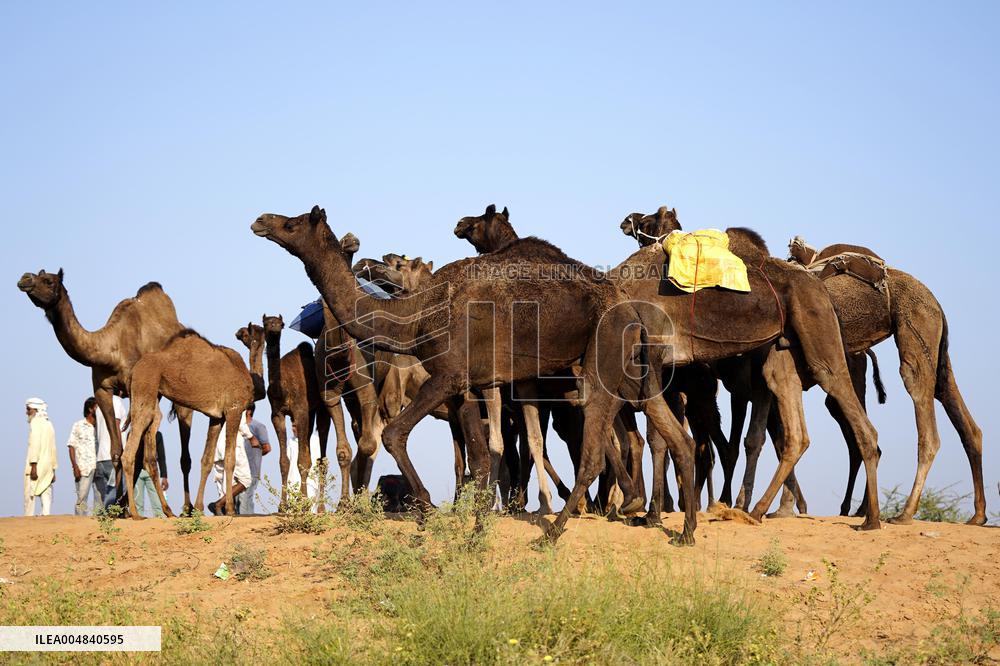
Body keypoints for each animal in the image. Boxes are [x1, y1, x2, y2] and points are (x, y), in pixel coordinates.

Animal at [17, 269, 200, 513]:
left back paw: (187, 508)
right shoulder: (102, 390)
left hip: (182, 393)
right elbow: (117, 451)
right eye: (38, 273)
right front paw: (117, 509)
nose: (24, 278)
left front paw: (125, 507)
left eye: (49, 280)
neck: (110, 349)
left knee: (184, 451)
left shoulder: (134, 385)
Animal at [123, 329, 255, 517]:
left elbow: (207, 460)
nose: (238, 333)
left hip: (151, 396)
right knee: (128, 454)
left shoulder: (217, 417)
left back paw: (168, 511)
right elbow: (230, 460)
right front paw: (230, 509)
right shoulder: (233, 410)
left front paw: (199, 508)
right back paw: (135, 514)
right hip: (145, 389)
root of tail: (134, 370)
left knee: (148, 457)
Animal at [262, 313, 331, 508]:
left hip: (321, 409)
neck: (282, 389)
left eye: (281, 323)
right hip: (311, 412)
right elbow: (284, 461)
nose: (274, 327)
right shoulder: (277, 415)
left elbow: (302, 461)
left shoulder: (300, 413)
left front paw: (303, 502)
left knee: (321, 459)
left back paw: (320, 507)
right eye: (266, 323)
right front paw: (283, 505)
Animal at [612, 207, 883, 529]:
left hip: (819, 336)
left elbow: (664, 440)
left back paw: (868, 517)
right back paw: (758, 511)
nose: (626, 220)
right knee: (796, 434)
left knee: (851, 412)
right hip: (782, 356)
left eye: (649, 220)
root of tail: (821, 288)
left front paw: (654, 513)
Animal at [788, 237, 986, 525]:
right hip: (937, 350)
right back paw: (978, 515)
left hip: (916, 324)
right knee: (961, 416)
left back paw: (903, 513)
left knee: (924, 417)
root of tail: (936, 302)